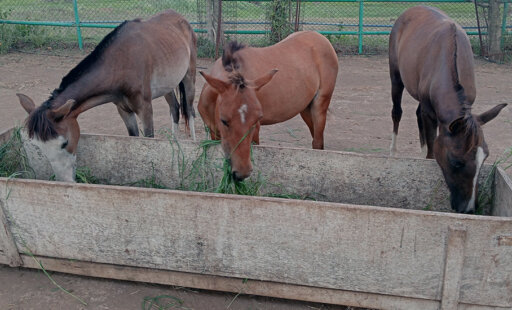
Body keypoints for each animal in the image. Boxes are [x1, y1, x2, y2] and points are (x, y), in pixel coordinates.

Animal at [16, 9, 196, 182]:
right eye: (38, 146)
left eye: (64, 143)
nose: (65, 180)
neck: (121, 62)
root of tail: (181, 19)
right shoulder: (124, 110)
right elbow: (134, 140)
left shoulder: (145, 109)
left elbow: (149, 141)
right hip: (168, 86)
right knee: (175, 109)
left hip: (189, 77)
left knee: (189, 110)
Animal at [198, 30, 338, 182]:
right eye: (224, 120)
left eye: (256, 119)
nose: (242, 172)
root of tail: (320, 37)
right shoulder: (214, 133)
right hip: (306, 110)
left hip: (320, 107)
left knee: (318, 143)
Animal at [390, 5, 506, 213]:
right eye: (456, 162)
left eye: (485, 157)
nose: (468, 209)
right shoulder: (431, 112)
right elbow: (431, 147)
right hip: (396, 77)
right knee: (397, 112)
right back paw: (393, 152)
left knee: (417, 115)